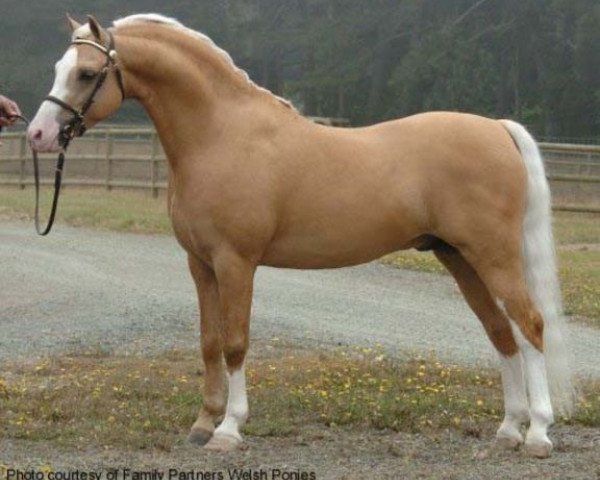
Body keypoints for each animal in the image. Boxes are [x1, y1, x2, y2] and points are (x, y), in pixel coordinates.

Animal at [27, 14, 572, 458]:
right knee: (500, 334)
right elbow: (207, 342)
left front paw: (229, 430)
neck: (221, 135)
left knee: (530, 326)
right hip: (459, 258)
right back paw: (508, 429)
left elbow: (235, 343)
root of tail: (496, 128)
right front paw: (202, 424)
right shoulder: (200, 264)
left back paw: (538, 434)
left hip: (493, 256)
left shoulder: (236, 262)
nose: (38, 135)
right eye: (58, 66)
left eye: (87, 74)